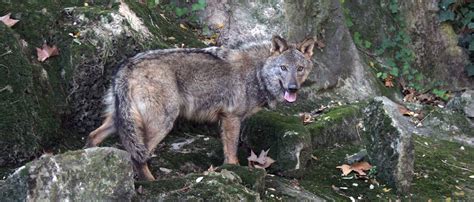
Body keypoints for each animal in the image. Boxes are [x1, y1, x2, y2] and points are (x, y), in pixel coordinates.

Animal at [86, 35, 314, 181]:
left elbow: (226, 150)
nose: (293, 88)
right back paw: (151, 182)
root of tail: (127, 65)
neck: (258, 73)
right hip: (162, 124)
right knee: (138, 156)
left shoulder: (225, 119)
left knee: (93, 136)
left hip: (120, 121)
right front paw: (236, 171)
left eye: (299, 69)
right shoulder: (232, 118)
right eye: (283, 68)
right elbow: (232, 152)